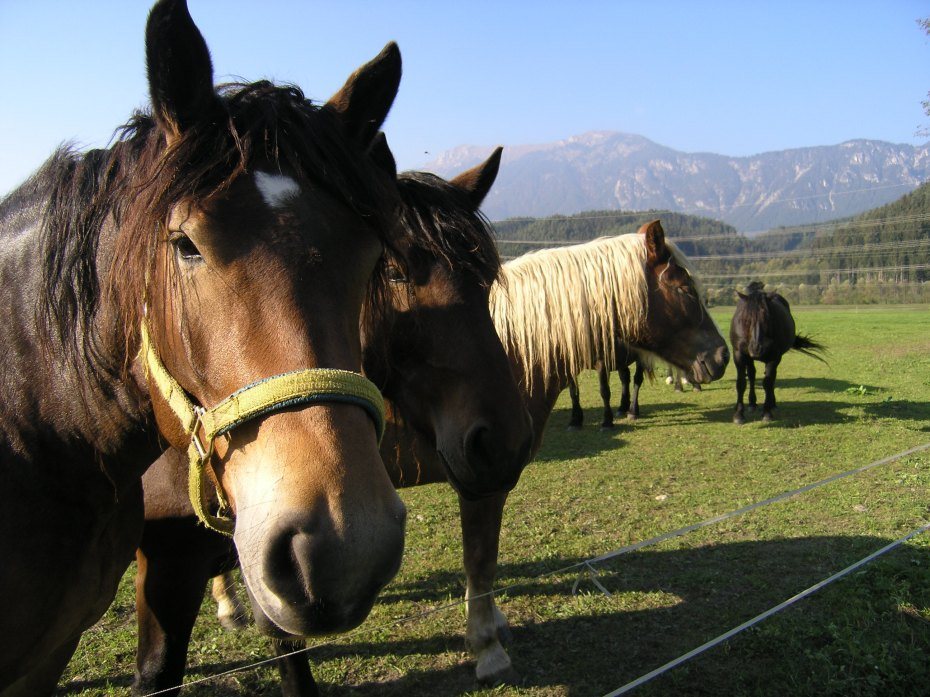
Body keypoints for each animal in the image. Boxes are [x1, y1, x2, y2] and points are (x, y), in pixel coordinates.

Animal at [728, 282, 824, 424]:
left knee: (771, 378)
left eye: (767, 318)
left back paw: (771, 404)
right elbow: (741, 383)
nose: (756, 349)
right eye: (745, 319)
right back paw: (752, 404)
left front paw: (767, 413)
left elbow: (767, 383)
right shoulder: (739, 355)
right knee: (751, 375)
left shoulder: (774, 357)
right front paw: (739, 415)